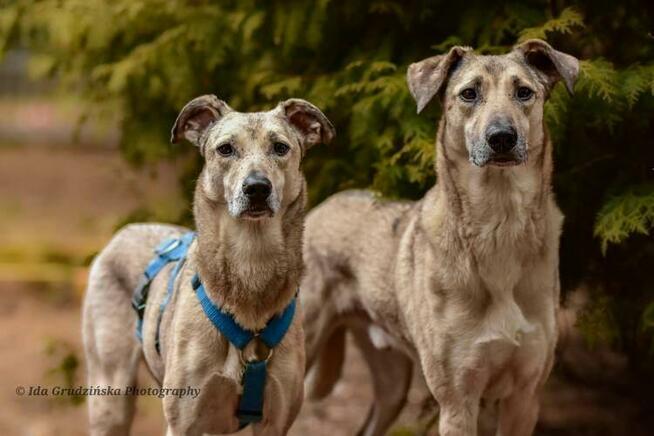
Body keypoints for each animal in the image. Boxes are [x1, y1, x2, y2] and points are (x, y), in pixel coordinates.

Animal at [82, 93, 336, 434]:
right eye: (226, 149)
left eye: (280, 148)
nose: (257, 188)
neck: (251, 263)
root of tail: (126, 230)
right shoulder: (184, 420)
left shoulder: (275, 421)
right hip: (110, 393)